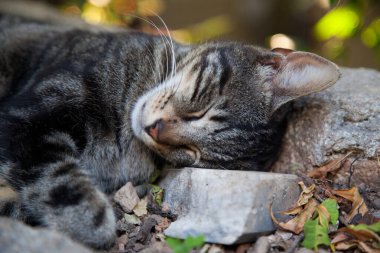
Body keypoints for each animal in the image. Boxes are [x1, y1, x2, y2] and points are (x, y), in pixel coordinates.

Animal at [0, 7, 340, 249]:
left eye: (192, 154)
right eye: (202, 110)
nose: (155, 131)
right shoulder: (28, 117)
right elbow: (59, 181)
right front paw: (92, 224)